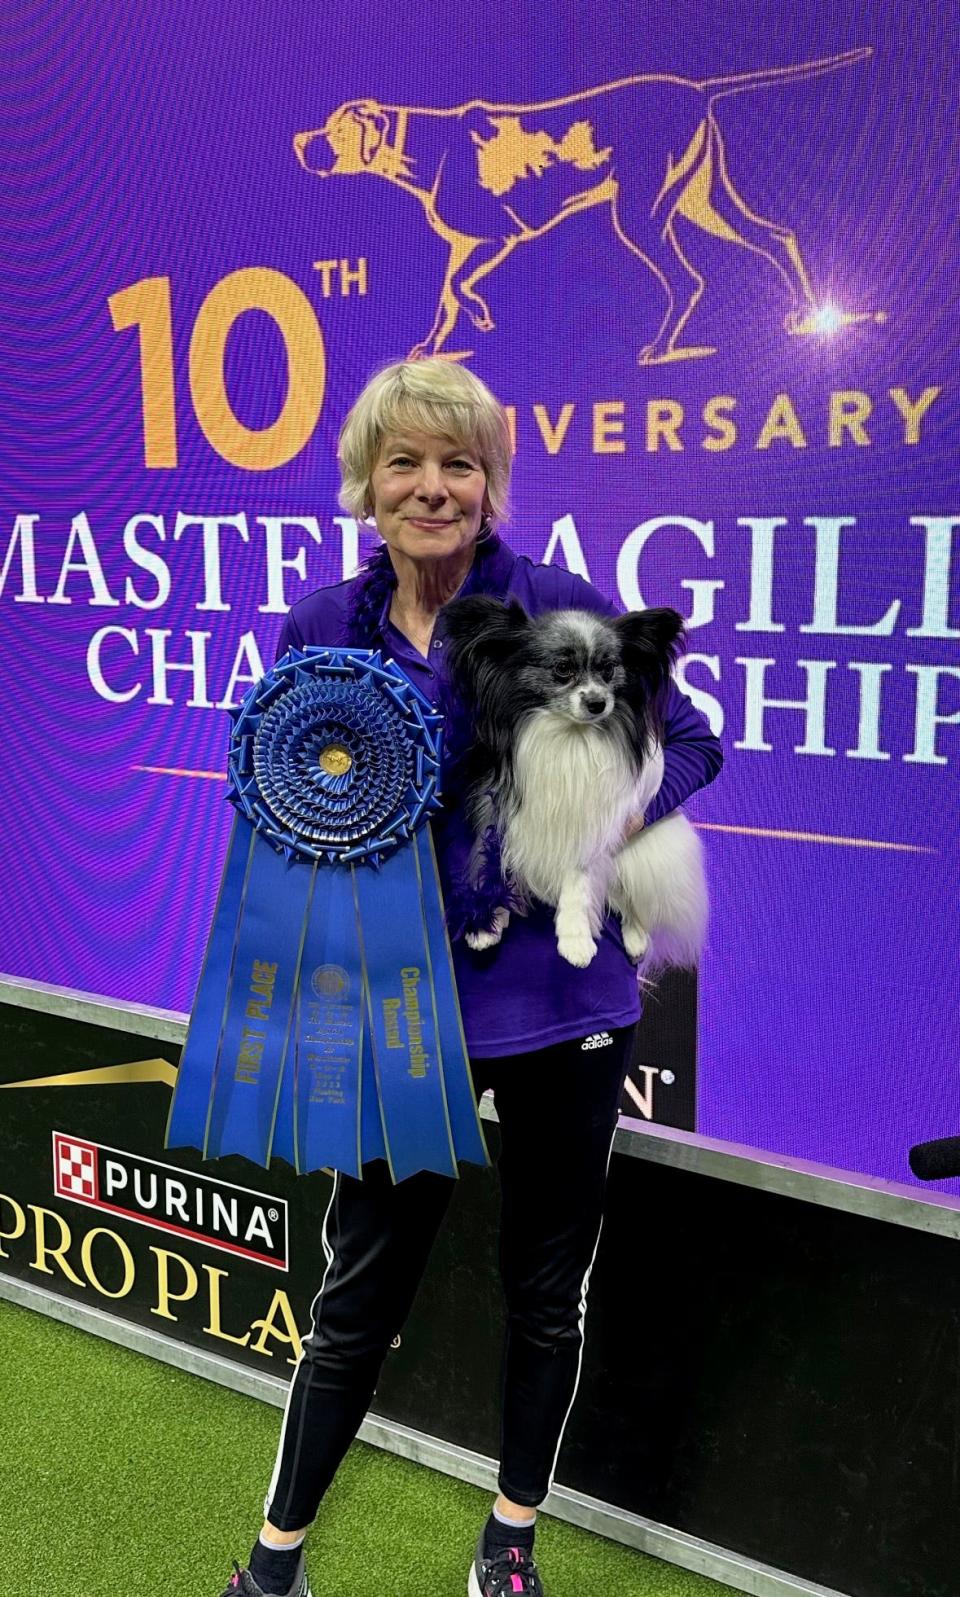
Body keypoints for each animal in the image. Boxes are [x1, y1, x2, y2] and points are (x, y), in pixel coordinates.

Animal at [440, 597, 702, 977]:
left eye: (608, 670)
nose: (597, 703)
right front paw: (486, 918)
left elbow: (578, 880)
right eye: (563, 669)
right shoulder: (499, 803)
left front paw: (575, 938)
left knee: (627, 896)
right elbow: (489, 854)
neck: (567, 736)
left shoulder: (589, 821)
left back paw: (636, 938)